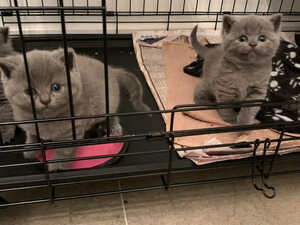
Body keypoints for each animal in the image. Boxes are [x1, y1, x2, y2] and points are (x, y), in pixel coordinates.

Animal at [0, 48, 150, 171]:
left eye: (55, 87)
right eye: (30, 91)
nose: (45, 100)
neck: (46, 121)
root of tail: (110, 69)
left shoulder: (72, 130)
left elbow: (64, 150)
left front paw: (56, 166)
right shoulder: (29, 124)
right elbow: (32, 136)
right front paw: (30, 150)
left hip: (107, 104)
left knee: (112, 116)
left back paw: (114, 129)